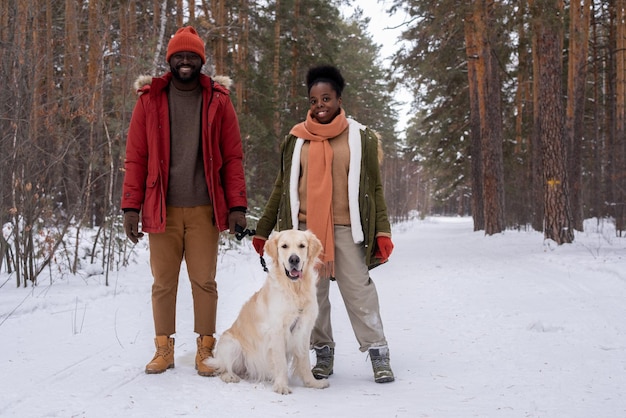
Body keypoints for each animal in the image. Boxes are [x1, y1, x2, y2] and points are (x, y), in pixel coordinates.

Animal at [206, 230, 332, 394]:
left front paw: (313, 383)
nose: (294, 259)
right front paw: (282, 386)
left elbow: (304, 362)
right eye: (284, 246)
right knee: (222, 368)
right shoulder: (277, 331)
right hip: (232, 344)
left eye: (302, 246)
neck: (295, 289)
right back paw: (230, 376)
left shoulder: (303, 330)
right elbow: (281, 363)